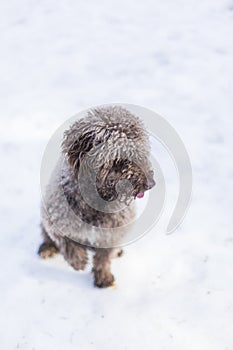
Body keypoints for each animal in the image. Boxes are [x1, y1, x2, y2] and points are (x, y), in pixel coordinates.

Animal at [38, 106, 155, 288]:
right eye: (121, 157)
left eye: (143, 152)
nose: (151, 183)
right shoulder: (54, 220)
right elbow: (65, 242)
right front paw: (78, 261)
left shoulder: (112, 234)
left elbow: (103, 257)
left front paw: (103, 276)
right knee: (46, 235)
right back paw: (47, 248)